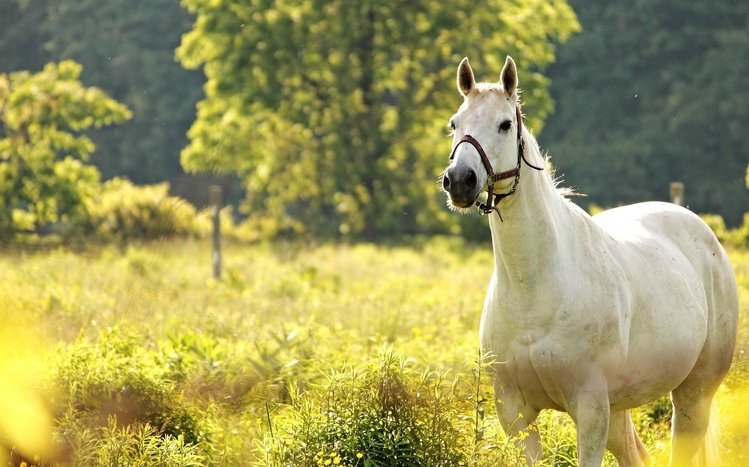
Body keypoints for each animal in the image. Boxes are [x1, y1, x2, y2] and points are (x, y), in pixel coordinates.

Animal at [441, 56, 739, 467]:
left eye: (504, 124)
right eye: (455, 123)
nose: (460, 181)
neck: (534, 287)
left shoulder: (590, 407)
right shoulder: (515, 413)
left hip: (694, 394)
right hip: (621, 409)